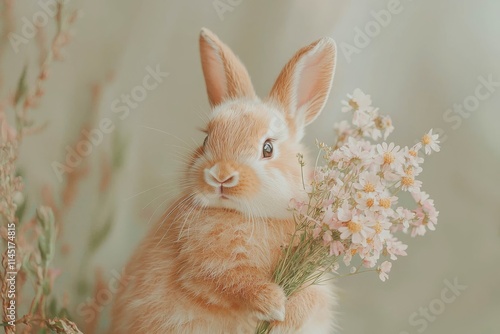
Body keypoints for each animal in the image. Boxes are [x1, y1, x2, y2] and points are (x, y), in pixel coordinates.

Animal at [111, 27, 338, 332]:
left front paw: (285, 316)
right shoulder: (206, 270)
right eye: (206, 140)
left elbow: (311, 298)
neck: (246, 215)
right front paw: (274, 304)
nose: (220, 175)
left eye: (268, 148)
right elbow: (236, 283)